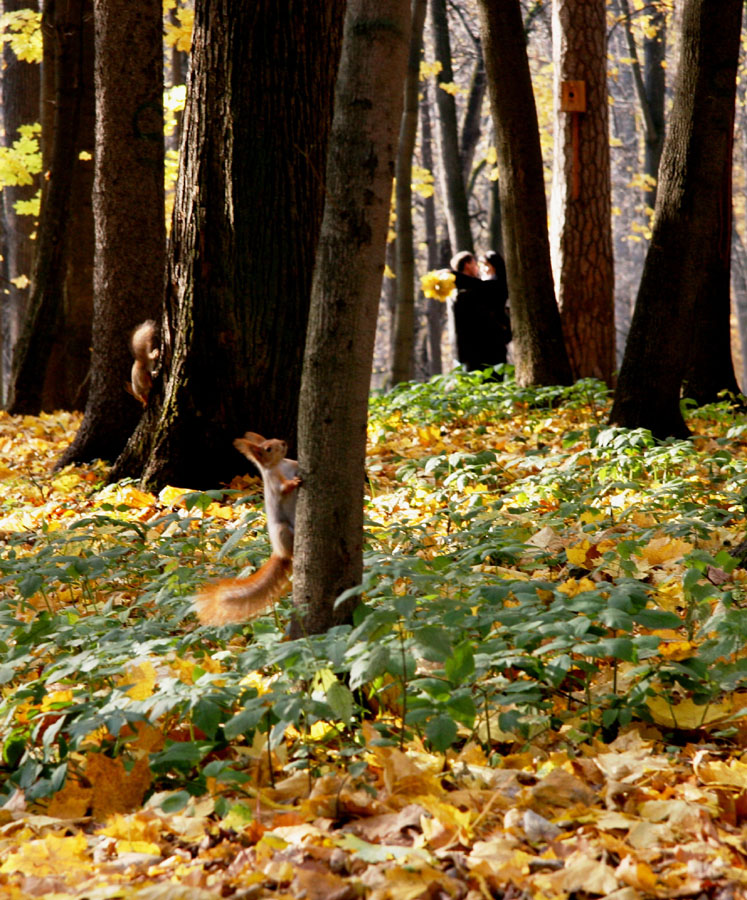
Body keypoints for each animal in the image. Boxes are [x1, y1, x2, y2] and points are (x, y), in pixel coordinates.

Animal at [194, 432, 302, 624]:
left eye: (274, 440)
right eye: (268, 449)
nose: (283, 443)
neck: (280, 464)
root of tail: (278, 552)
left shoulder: (291, 463)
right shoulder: (274, 482)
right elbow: (283, 488)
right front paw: (294, 482)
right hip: (282, 530)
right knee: (289, 549)